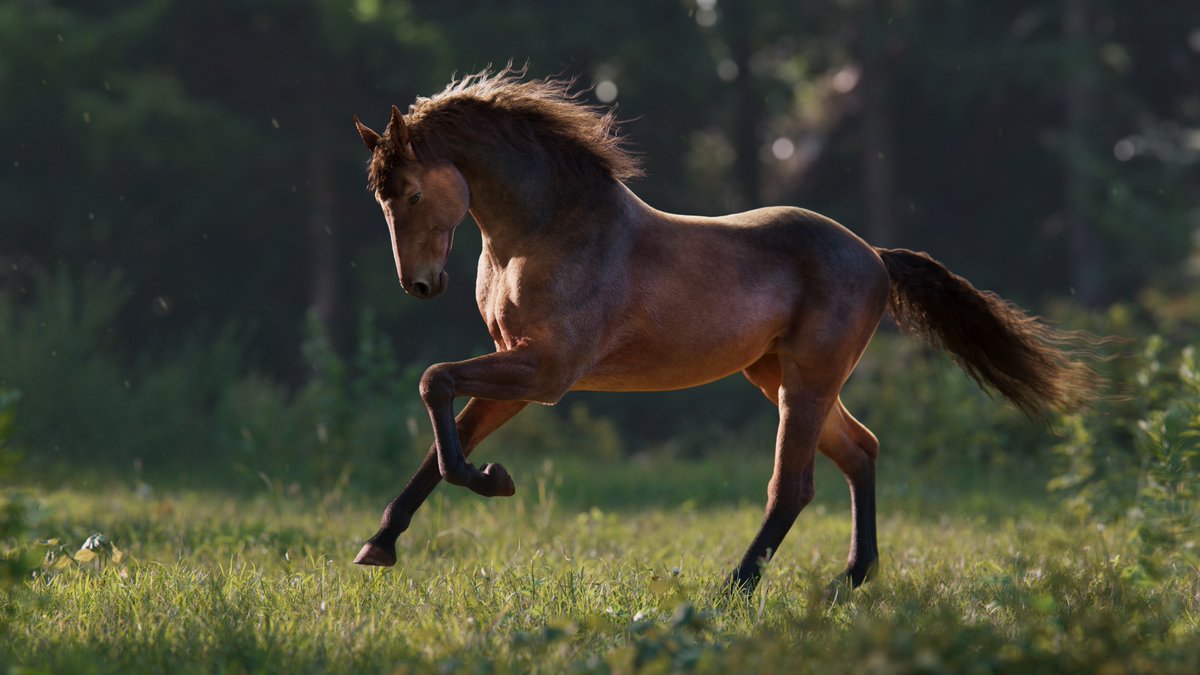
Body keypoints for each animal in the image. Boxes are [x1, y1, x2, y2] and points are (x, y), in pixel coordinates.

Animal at [348, 68, 1095, 594]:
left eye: (410, 191)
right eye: (379, 197)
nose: (419, 284)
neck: (543, 233)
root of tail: (875, 256)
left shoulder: (547, 370)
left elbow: (433, 383)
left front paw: (493, 480)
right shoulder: (517, 364)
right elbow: (443, 430)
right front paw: (381, 543)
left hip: (807, 380)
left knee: (793, 485)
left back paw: (733, 588)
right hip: (776, 374)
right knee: (860, 451)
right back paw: (852, 578)